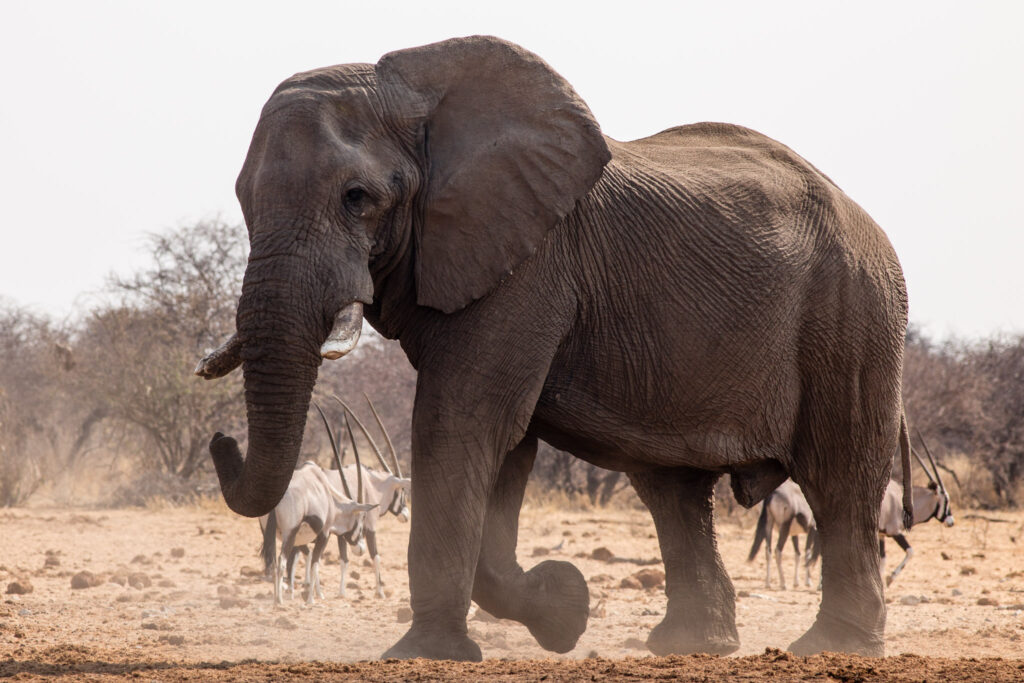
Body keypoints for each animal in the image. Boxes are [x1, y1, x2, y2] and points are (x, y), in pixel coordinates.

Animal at [199, 34, 913, 659]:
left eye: (357, 198)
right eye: (242, 199)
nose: (221, 442)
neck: (417, 96)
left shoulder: (531, 265)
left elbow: (462, 420)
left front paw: (426, 653)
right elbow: (504, 445)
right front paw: (566, 610)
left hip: (856, 314)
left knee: (840, 478)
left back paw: (831, 648)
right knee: (674, 491)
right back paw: (690, 646)